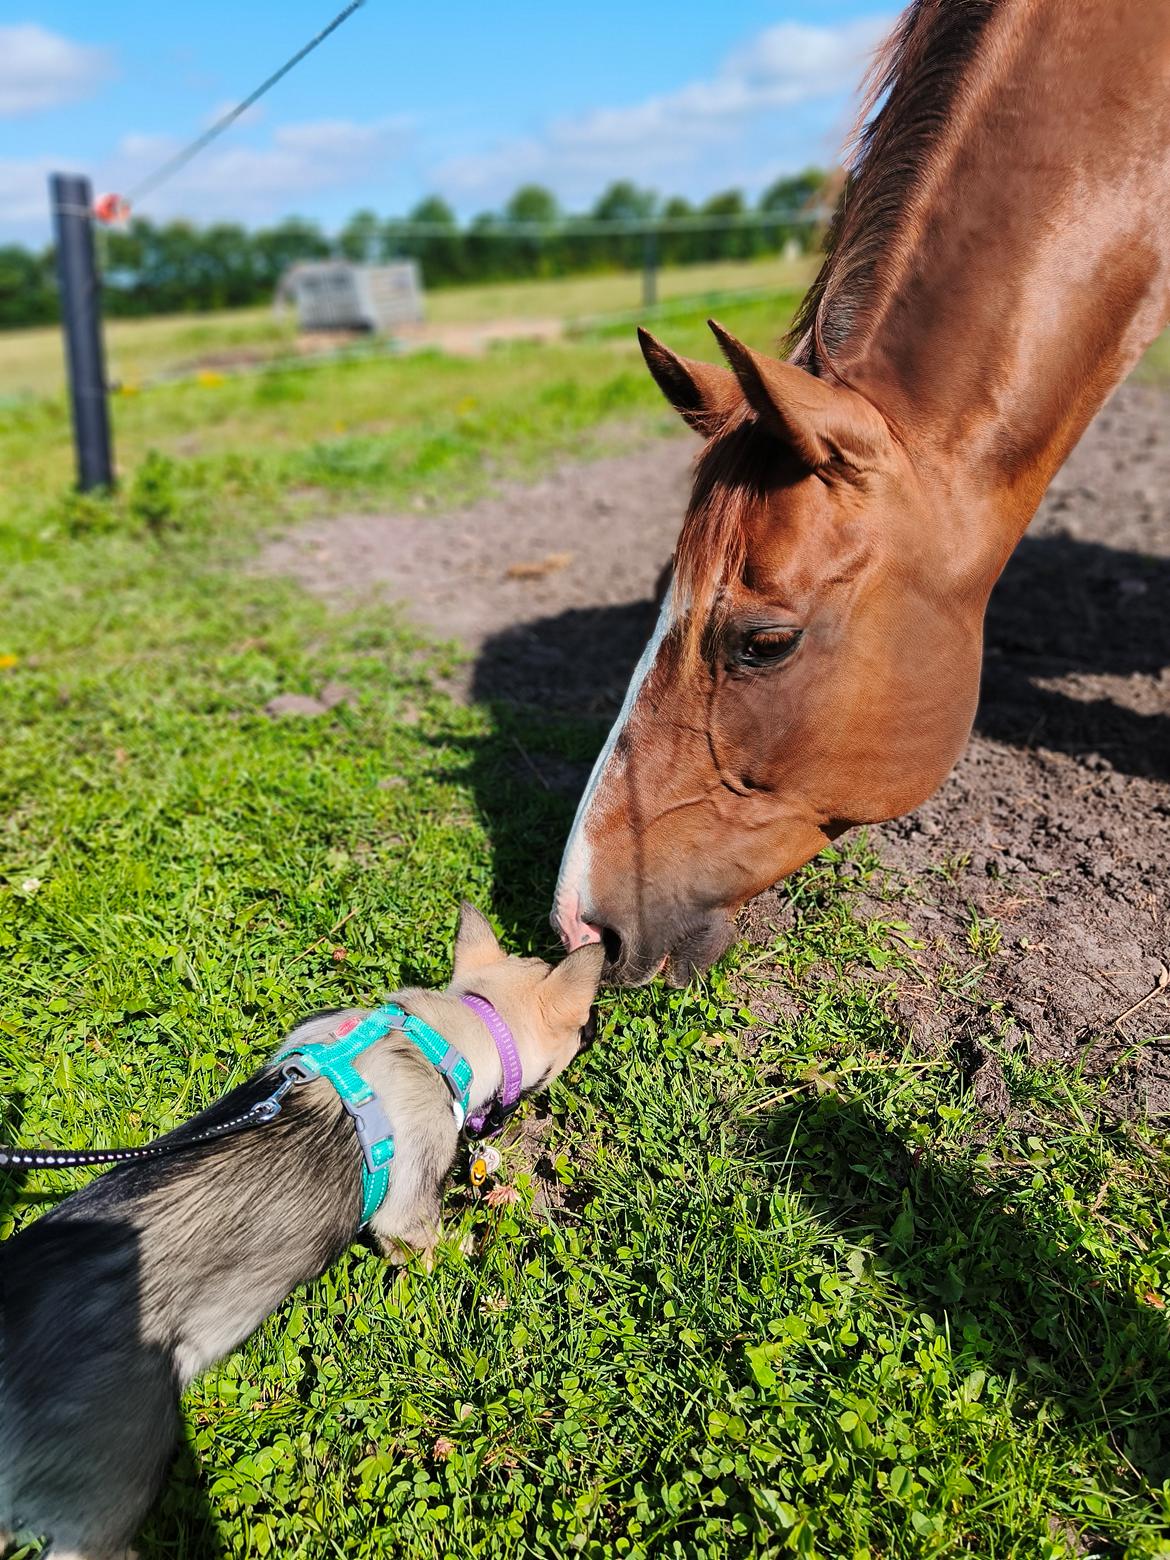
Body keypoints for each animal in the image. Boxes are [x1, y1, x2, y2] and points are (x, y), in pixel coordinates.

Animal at [0, 904, 605, 1560]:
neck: (444, 1035)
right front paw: (469, 1253)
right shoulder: (407, 1217)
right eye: (582, 1022)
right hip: (106, 1500)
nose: (599, 1027)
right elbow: (434, 1250)